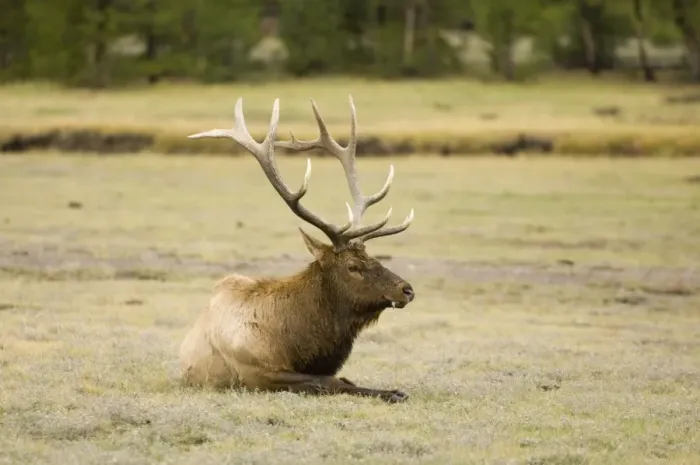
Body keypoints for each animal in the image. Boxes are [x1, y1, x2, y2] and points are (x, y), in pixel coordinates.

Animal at [178, 95, 416, 403]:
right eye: (353, 266)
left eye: (372, 257)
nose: (407, 289)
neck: (298, 341)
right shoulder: (256, 373)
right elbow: (330, 382)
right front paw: (393, 393)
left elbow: (342, 378)